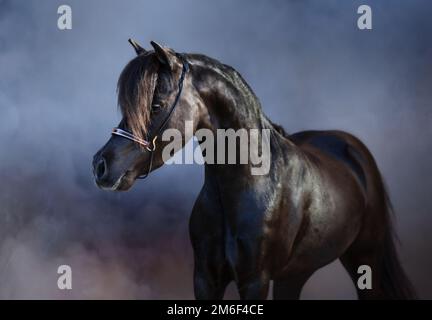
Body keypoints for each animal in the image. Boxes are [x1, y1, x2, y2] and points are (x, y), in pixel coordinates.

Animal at [93, 40, 416, 300]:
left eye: (156, 105)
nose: (100, 165)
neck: (246, 186)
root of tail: (350, 145)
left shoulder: (254, 281)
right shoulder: (205, 279)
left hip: (365, 259)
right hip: (294, 273)